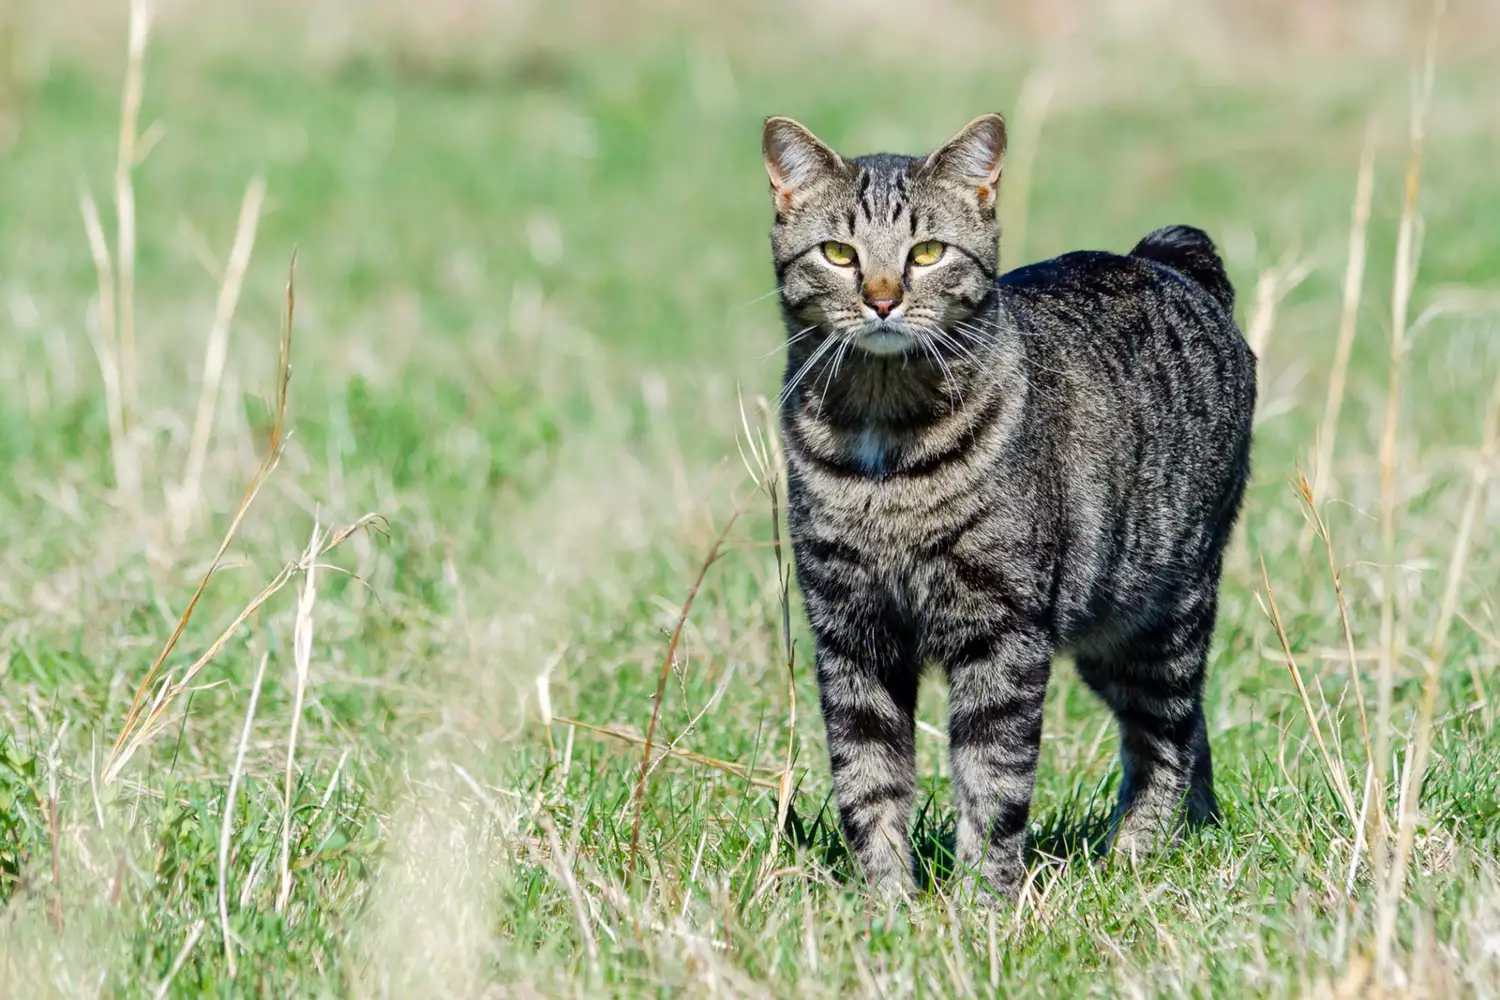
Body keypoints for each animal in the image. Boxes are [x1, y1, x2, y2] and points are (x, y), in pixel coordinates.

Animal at [762, 113, 1254, 905]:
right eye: (839, 253)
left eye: (927, 252)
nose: (881, 298)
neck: (883, 442)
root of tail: (1162, 256)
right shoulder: (851, 632)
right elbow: (867, 780)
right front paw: (886, 906)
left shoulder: (1003, 629)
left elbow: (992, 781)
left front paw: (981, 904)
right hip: (1106, 632)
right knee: (1194, 729)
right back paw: (1190, 835)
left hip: (1162, 614)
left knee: (1168, 740)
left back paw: (1135, 857)